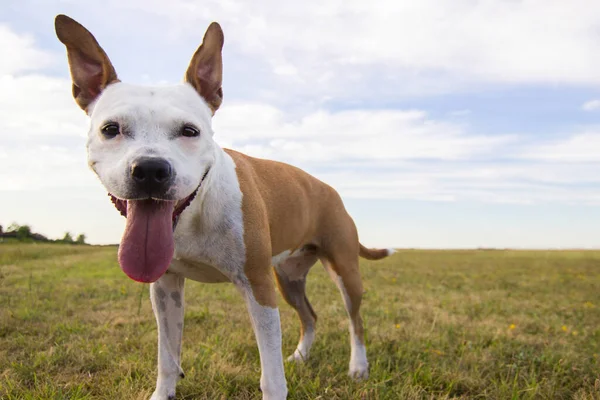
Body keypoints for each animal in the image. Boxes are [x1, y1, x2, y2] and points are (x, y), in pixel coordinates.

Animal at [55, 14, 394, 398]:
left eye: (190, 131)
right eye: (111, 129)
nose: (151, 170)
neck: (193, 212)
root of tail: (330, 189)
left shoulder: (258, 287)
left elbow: (271, 374)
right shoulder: (165, 287)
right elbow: (167, 356)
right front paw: (163, 391)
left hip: (343, 271)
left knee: (356, 322)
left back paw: (358, 366)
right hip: (288, 277)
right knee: (310, 315)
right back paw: (301, 355)